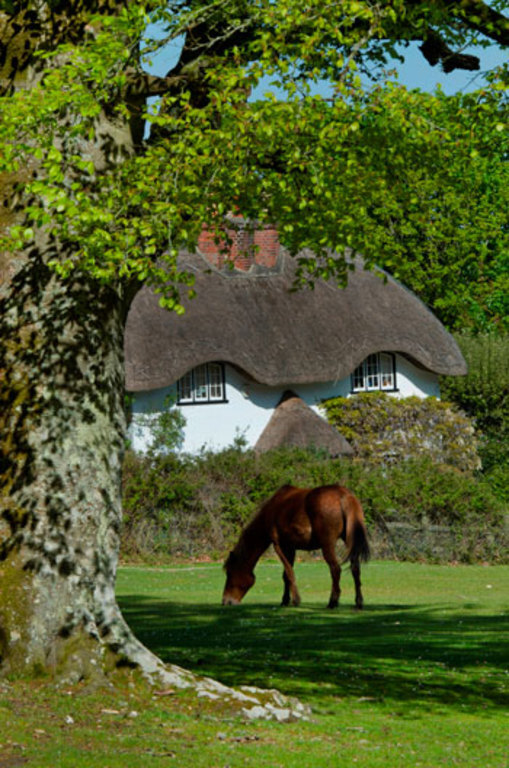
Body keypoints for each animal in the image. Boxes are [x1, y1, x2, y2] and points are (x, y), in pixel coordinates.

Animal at [222, 484, 370, 609]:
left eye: (229, 573)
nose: (225, 601)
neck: (273, 509)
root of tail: (344, 495)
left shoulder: (279, 545)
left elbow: (288, 573)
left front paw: (295, 600)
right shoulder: (290, 547)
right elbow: (286, 575)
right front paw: (285, 600)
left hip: (327, 545)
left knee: (335, 569)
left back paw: (332, 602)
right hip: (348, 541)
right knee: (355, 568)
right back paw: (358, 602)